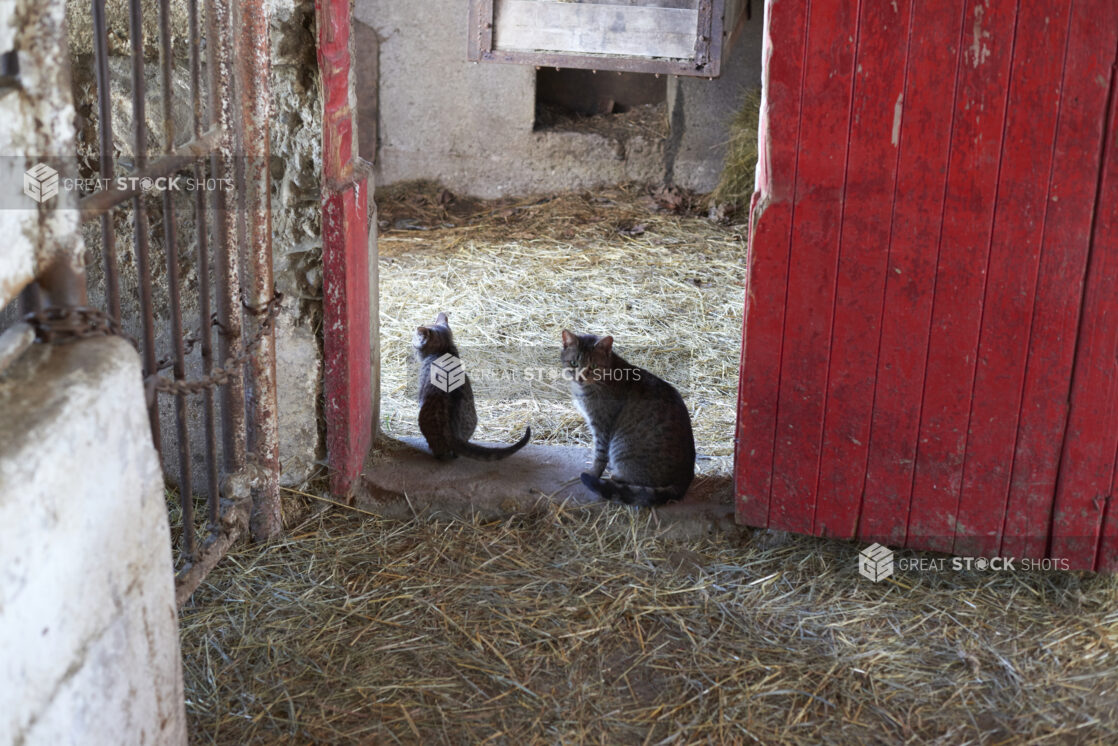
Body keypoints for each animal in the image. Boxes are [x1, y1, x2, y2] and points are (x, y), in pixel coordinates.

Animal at [563, 333, 693, 507]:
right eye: (574, 363)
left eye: (594, 366)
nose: (580, 377)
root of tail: (685, 479)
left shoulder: (601, 426)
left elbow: (599, 456)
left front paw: (592, 473)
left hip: (622, 446)